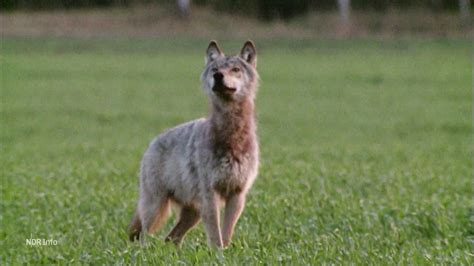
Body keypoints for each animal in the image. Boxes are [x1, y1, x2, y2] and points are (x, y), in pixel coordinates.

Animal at [128, 40, 262, 248]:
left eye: (235, 69)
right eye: (215, 69)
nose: (218, 76)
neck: (233, 137)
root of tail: (153, 141)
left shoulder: (237, 195)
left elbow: (226, 234)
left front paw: (226, 252)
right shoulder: (210, 195)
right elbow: (215, 236)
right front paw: (218, 253)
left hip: (193, 213)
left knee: (171, 238)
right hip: (157, 207)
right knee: (144, 236)